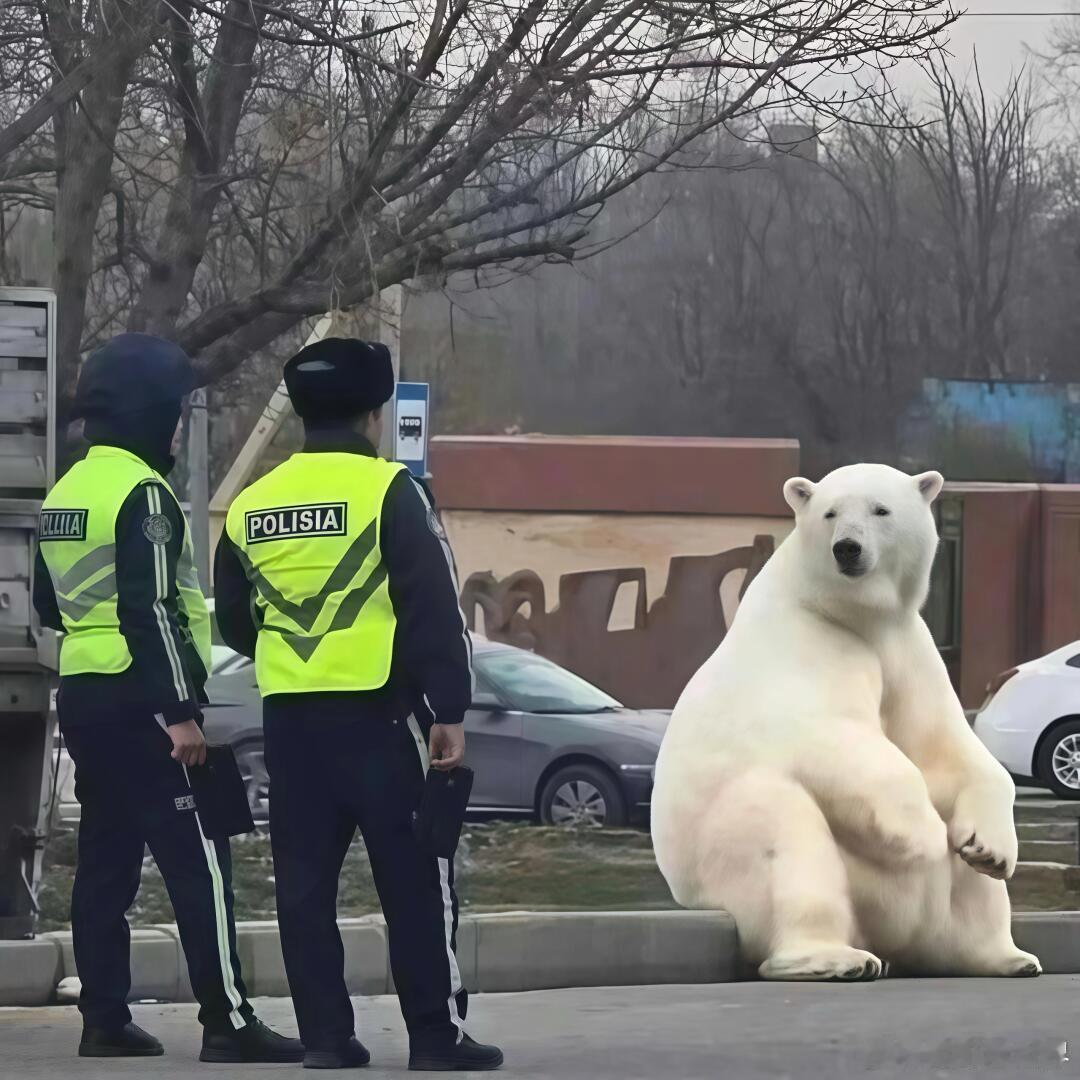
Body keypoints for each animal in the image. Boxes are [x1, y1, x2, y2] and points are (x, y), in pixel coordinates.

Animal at [648, 460, 1036, 984]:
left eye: (880, 509)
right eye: (830, 512)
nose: (847, 547)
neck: (851, 615)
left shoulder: (906, 649)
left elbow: (943, 745)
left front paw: (990, 848)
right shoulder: (808, 646)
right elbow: (834, 738)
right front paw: (924, 834)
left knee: (968, 894)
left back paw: (1004, 956)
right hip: (738, 851)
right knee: (787, 840)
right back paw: (838, 958)